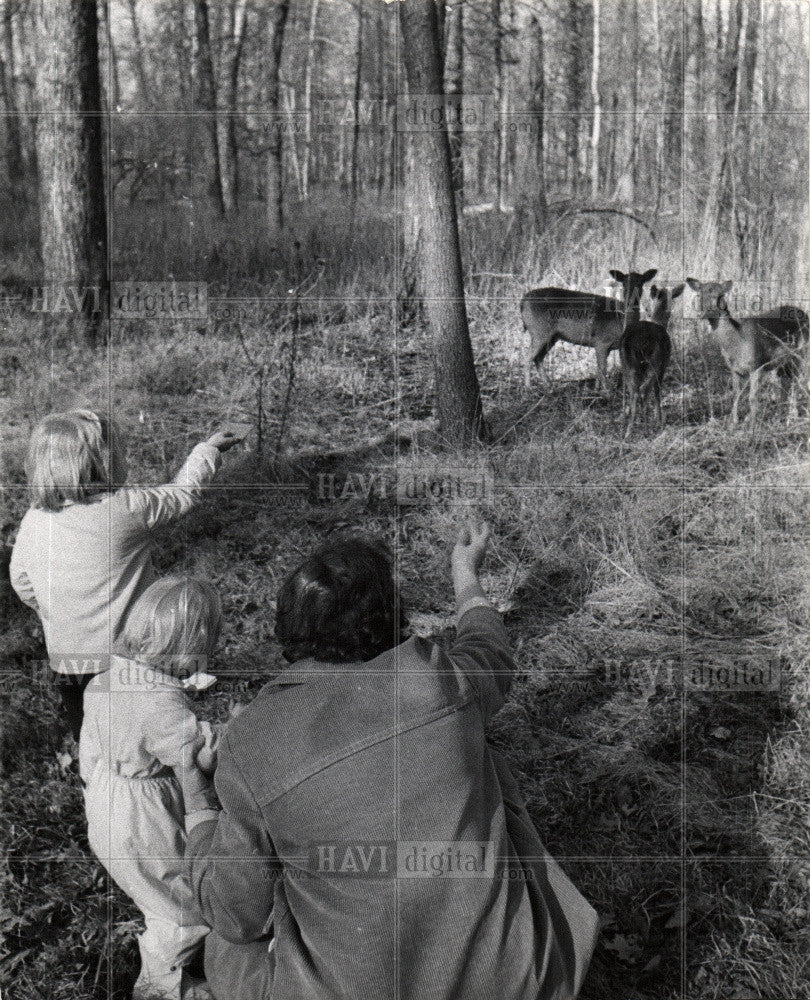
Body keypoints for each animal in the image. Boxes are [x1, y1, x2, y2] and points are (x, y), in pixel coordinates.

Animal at [516, 268, 656, 396]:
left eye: (641, 282)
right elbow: (602, 368)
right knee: (528, 358)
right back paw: (528, 389)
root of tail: (523, 302)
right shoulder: (601, 341)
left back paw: (549, 387)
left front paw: (597, 390)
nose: (631, 299)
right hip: (539, 331)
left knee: (538, 358)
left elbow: (599, 369)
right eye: (624, 283)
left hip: (551, 336)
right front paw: (607, 392)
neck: (621, 320)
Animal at [620, 284, 680, 436]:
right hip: (655, 361)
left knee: (633, 391)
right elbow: (657, 390)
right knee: (644, 389)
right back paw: (647, 428)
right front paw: (659, 420)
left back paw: (629, 430)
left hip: (627, 363)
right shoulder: (664, 363)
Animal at [680, 280, 808, 424]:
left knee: (796, 381)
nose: (702, 313)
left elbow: (752, 397)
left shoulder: (756, 365)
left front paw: (751, 422)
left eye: (719, 295)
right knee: (785, 382)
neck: (738, 344)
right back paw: (780, 414)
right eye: (699, 294)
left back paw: (793, 415)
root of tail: (805, 314)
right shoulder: (734, 369)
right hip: (783, 362)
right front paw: (734, 421)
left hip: (801, 353)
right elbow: (736, 394)